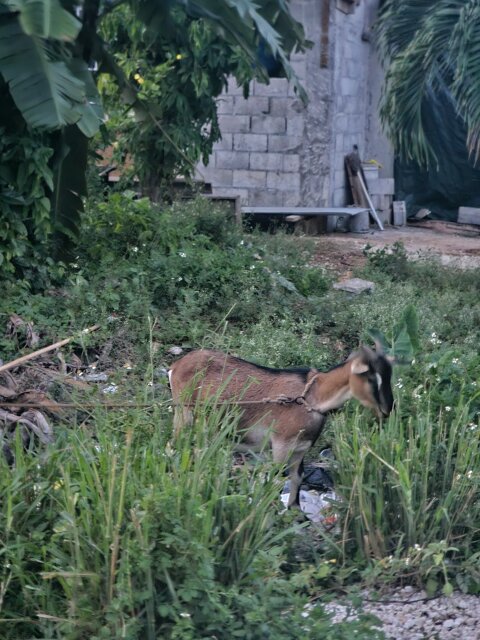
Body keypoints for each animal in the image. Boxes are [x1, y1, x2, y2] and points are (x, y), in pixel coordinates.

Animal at [168, 346, 394, 507]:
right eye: (371, 378)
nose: (387, 409)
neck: (312, 398)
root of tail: (175, 366)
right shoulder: (280, 445)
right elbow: (275, 480)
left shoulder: (300, 449)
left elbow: (297, 477)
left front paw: (296, 513)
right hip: (184, 413)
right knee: (174, 445)